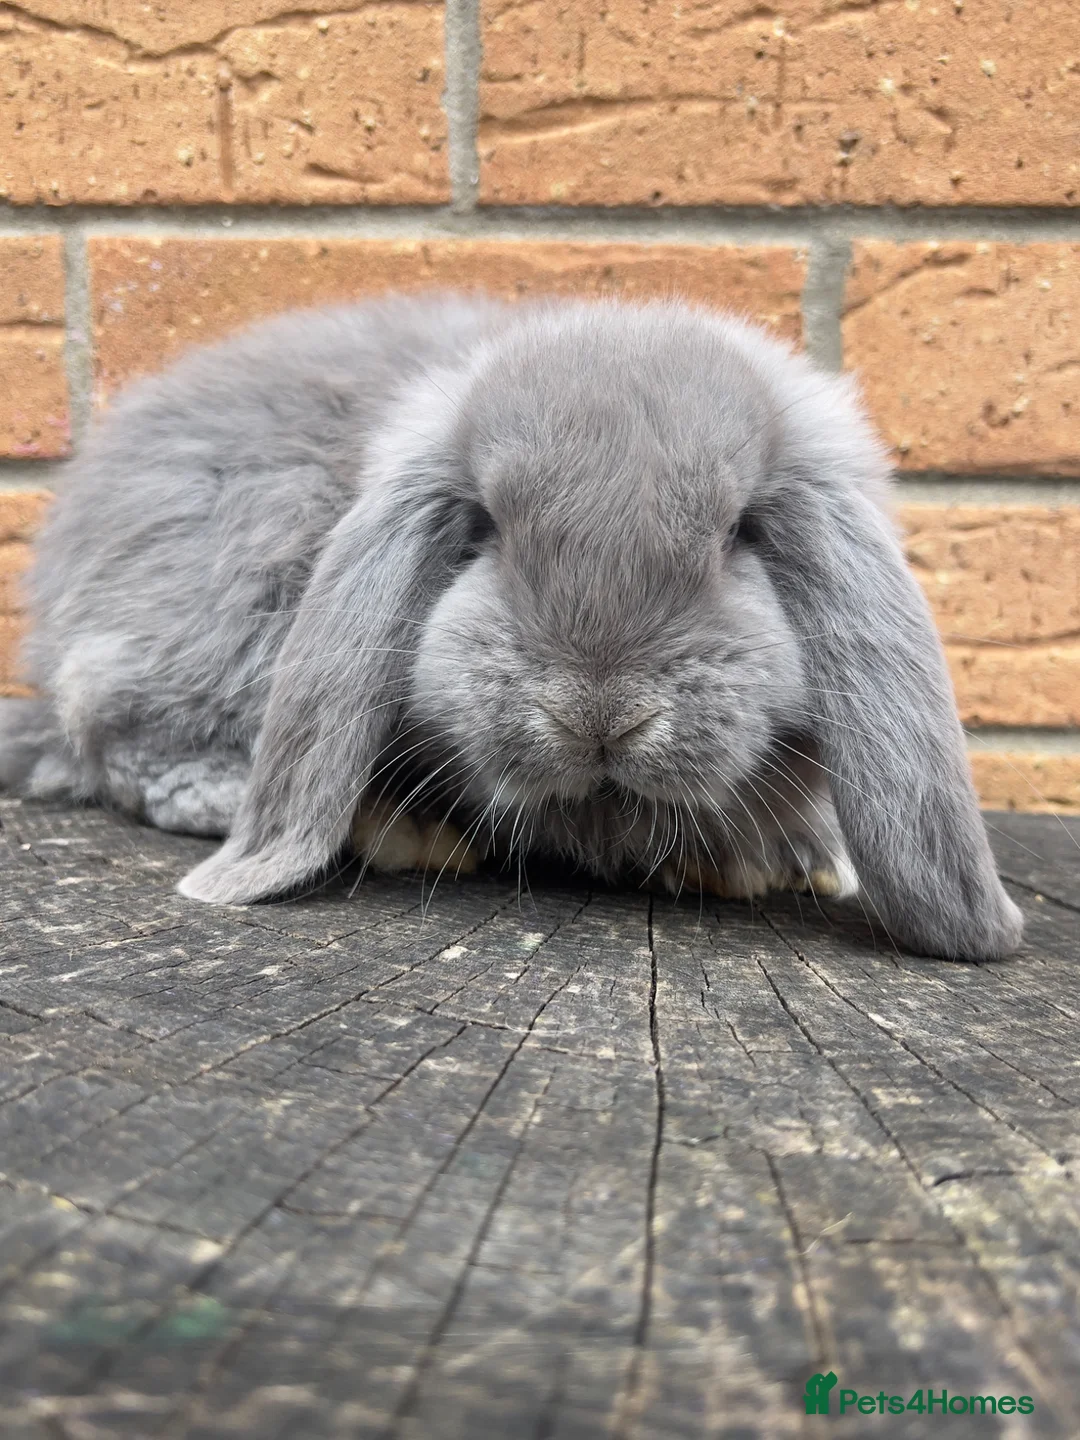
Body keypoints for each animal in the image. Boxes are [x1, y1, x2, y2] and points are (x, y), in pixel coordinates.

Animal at [0, 291, 1022, 962]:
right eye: (484, 526)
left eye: (743, 531)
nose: (597, 713)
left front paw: (782, 863)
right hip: (221, 611)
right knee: (122, 737)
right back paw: (383, 827)